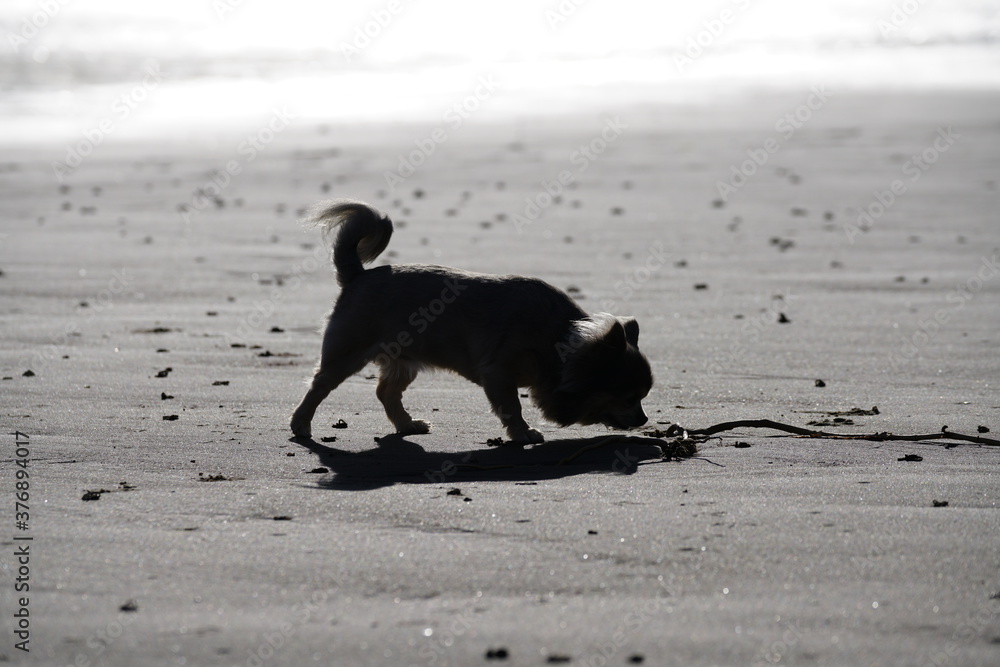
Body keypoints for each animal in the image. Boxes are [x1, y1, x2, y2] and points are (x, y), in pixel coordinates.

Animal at [290, 201, 652, 446]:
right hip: (347, 354)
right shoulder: (498, 374)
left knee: (386, 392)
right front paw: (523, 434)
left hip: (405, 361)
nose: (644, 418)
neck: (556, 340)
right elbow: (511, 408)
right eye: (628, 397)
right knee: (319, 386)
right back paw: (301, 425)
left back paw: (406, 425)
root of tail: (358, 275)